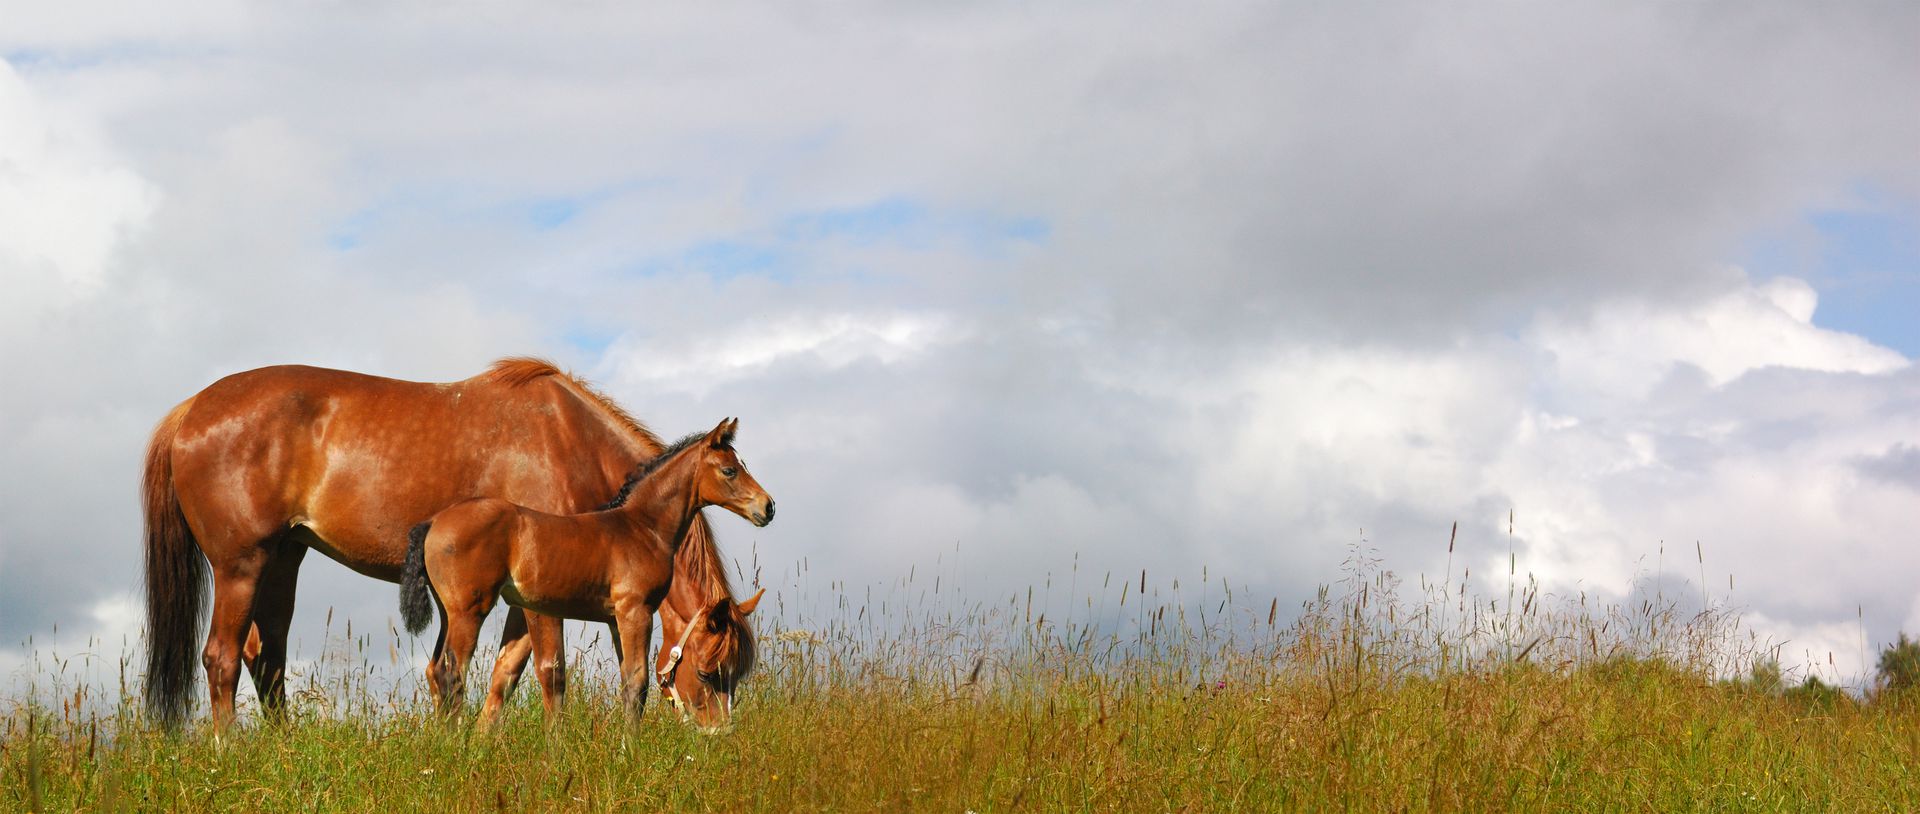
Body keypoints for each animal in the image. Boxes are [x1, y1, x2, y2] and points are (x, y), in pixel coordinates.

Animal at [403, 420, 771, 729]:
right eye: (729, 470)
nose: (768, 507)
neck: (641, 527)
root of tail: (432, 523)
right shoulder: (635, 611)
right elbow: (637, 684)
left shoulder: (615, 619)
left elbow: (628, 681)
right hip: (469, 611)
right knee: (451, 674)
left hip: (449, 612)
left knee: (437, 671)